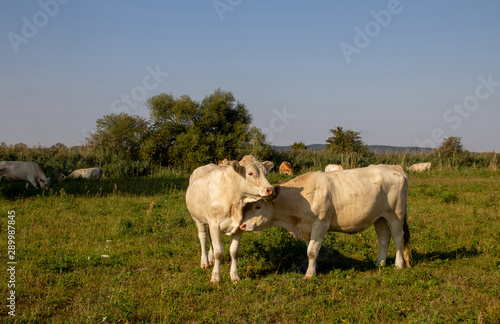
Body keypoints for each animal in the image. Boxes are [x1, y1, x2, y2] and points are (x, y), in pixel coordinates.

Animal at [241, 165, 410, 278]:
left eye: (258, 206)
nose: (242, 224)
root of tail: (393, 168)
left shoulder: (320, 224)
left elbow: (311, 251)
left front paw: (309, 275)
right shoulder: (306, 229)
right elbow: (310, 250)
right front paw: (313, 270)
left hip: (396, 214)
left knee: (398, 237)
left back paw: (399, 265)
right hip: (379, 217)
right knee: (384, 237)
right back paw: (380, 262)